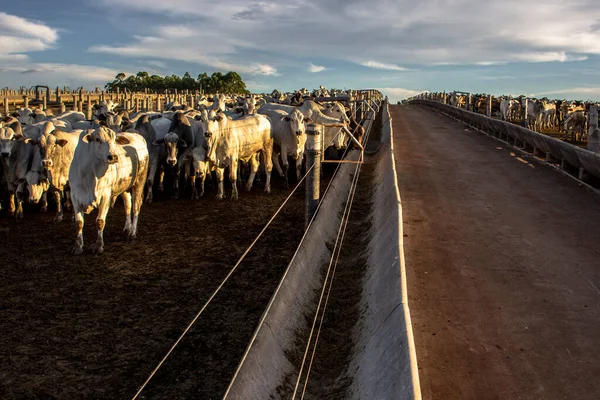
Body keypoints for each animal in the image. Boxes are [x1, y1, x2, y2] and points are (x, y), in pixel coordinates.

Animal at [69, 126, 149, 255]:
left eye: (115, 140)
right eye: (98, 139)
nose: (113, 157)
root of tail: (138, 136)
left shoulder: (105, 196)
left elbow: (100, 221)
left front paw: (99, 246)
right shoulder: (75, 196)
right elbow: (79, 223)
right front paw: (78, 246)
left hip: (139, 182)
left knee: (136, 206)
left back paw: (132, 233)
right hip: (125, 186)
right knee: (128, 204)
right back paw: (127, 228)